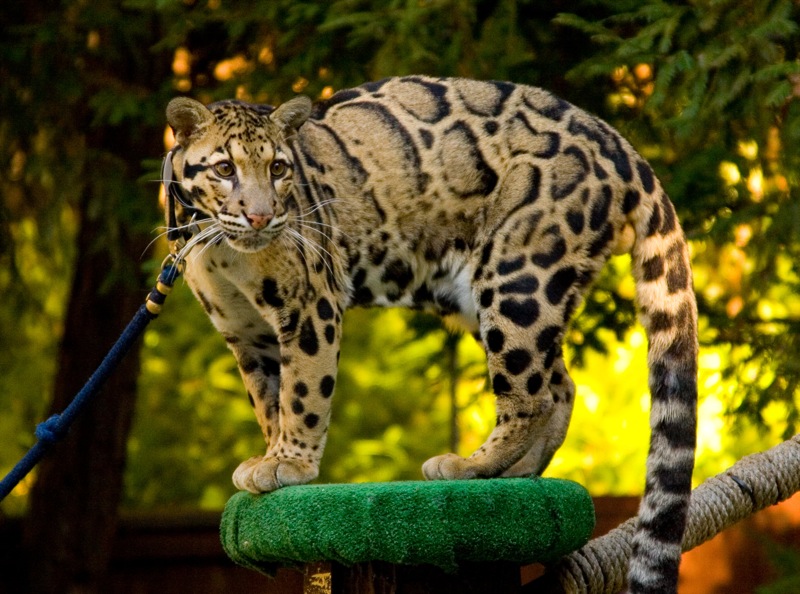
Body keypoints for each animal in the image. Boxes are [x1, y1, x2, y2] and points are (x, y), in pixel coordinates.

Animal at [166, 76, 696, 588]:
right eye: (224, 169)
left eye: (278, 168)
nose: (260, 216)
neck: (222, 247)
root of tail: (620, 146)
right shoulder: (246, 334)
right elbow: (268, 401)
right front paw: (273, 454)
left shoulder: (310, 303)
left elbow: (302, 392)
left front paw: (290, 463)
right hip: (489, 296)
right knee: (560, 384)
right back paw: (515, 474)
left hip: (517, 276)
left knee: (531, 394)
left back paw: (470, 467)